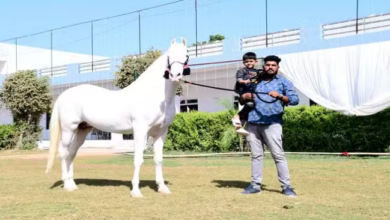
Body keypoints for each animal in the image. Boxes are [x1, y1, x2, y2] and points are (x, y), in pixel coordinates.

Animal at [45, 37, 190, 197]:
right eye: (169, 56)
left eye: (187, 55)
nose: (175, 75)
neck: (155, 97)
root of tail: (63, 95)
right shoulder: (140, 130)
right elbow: (138, 159)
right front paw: (135, 191)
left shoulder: (161, 132)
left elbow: (158, 159)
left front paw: (162, 188)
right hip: (68, 129)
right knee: (63, 153)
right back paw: (66, 185)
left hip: (81, 130)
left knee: (71, 154)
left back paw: (72, 184)